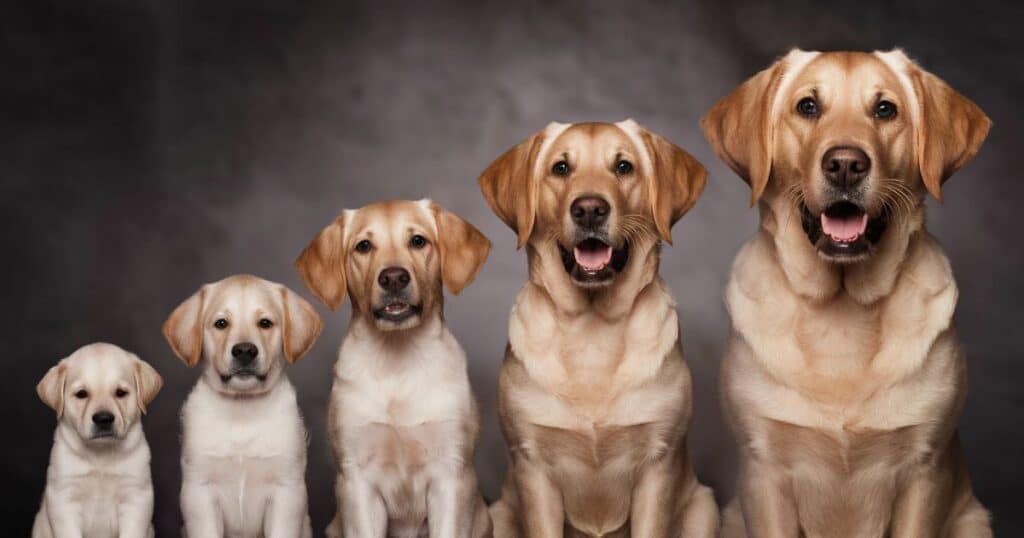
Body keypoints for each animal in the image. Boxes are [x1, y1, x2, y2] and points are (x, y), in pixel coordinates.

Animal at [32, 342, 161, 536]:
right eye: (81, 394)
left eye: (121, 393)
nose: (103, 418)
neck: (100, 455)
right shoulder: (63, 498)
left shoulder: (136, 496)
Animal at [162, 274, 319, 532]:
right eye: (221, 323)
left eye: (265, 323)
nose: (245, 350)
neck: (242, 411)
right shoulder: (198, 492)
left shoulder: (287, 492)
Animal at [294, 197, 493, 536]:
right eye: (363, 246)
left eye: (418, 241)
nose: (394, 278)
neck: (397, 360)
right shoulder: (357, 480)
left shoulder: (451, 475)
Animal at [479, 121, 720, 536]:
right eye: (561, 168)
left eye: (623, 166)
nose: (589, 209)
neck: (592, 332)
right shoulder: (533, 467)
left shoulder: (658, 464)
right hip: (499, 514)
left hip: (704, 507)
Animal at [704, 48, 991, 532]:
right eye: (807, 107)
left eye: (885, 109)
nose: (845, 164)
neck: (841, 311)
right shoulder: (765, 472)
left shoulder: (924, 471)